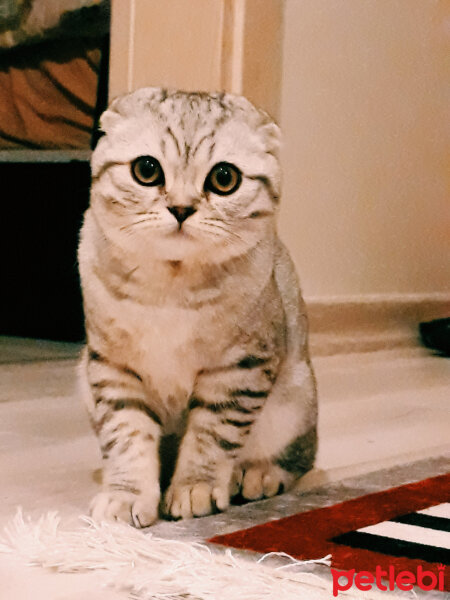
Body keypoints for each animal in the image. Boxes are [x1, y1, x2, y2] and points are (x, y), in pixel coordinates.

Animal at [78, 86, 316, 528]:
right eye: (147, 170)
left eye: (224, 178)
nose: (182, 208)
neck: (172, 289)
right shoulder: (113, 368)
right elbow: (127, 436)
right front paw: (126, 493)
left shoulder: (238, 369)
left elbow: (211, 436)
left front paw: (195, 489)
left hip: (295, 399)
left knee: (299, 456)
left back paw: (258, 473)